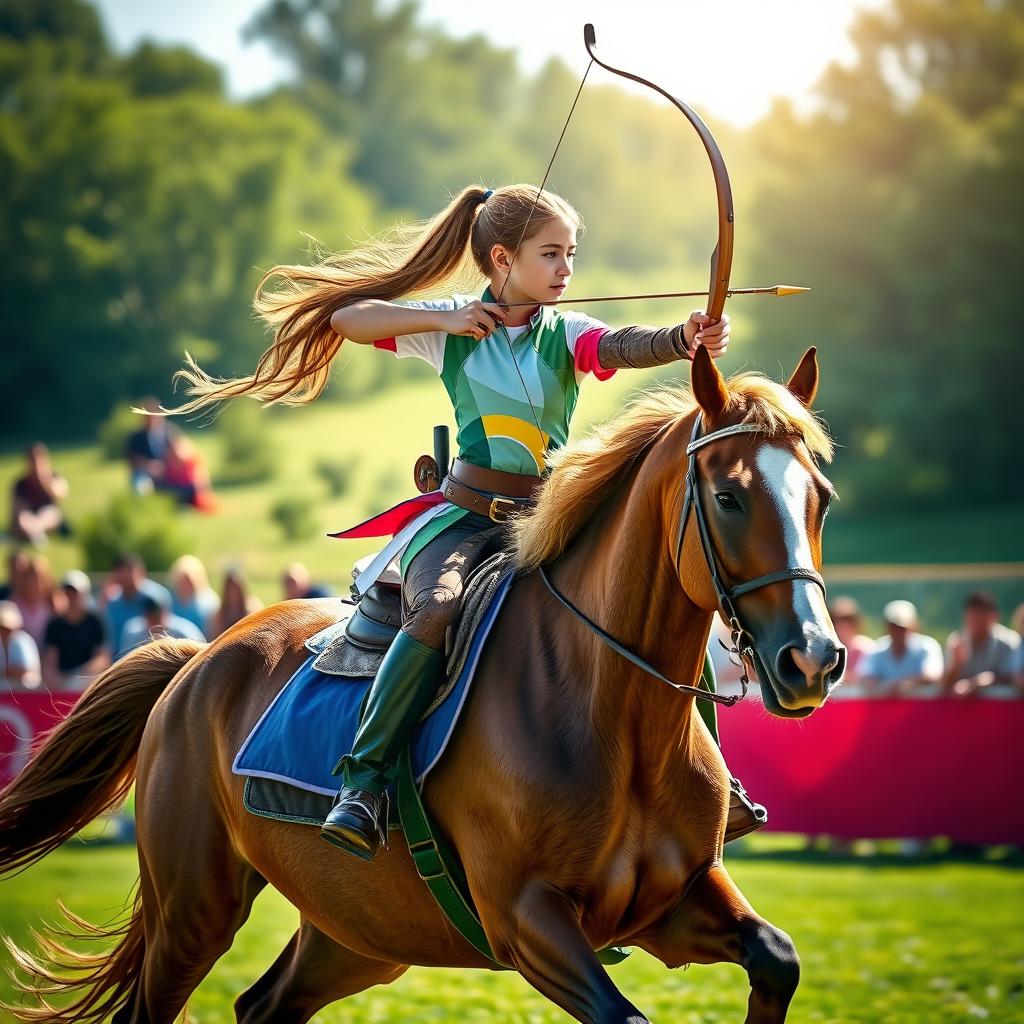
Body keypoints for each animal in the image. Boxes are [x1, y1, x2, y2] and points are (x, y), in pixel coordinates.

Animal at [4, 348, 843, 1019]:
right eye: (729, 496)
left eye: (820, 498)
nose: (813, 658)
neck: (610, 714)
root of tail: (197, 660)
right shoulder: (527, 920)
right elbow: (626, 1013)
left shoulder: (673, 900)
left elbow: (778, 959)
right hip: (194, 912)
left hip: (359, 933)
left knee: (263, 1004)